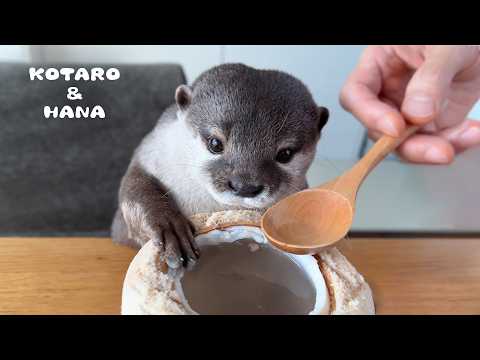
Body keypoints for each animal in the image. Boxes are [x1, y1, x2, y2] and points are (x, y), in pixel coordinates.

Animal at [110, 62, 328, 270]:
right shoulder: (148, 154)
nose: (245, 186)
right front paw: (170, 229)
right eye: (215, 143)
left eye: (285, 154)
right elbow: (136, 192)